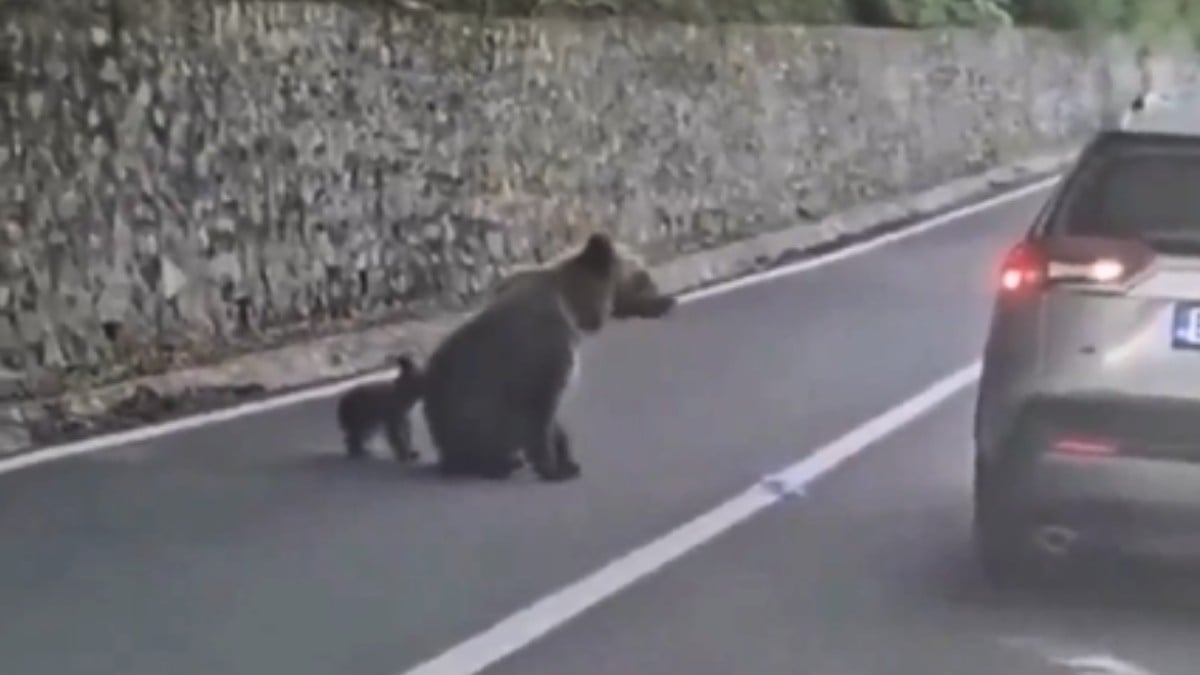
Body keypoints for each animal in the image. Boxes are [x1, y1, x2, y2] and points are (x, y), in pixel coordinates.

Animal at [420, 231, 677, 482]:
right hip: (465, 418)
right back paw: (499, 464)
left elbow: (555, 419)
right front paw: (555, 469)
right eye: (644, 276)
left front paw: (568, 460)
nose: (668, 299)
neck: (573, 306)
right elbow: (540, 411)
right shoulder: (544, 348)